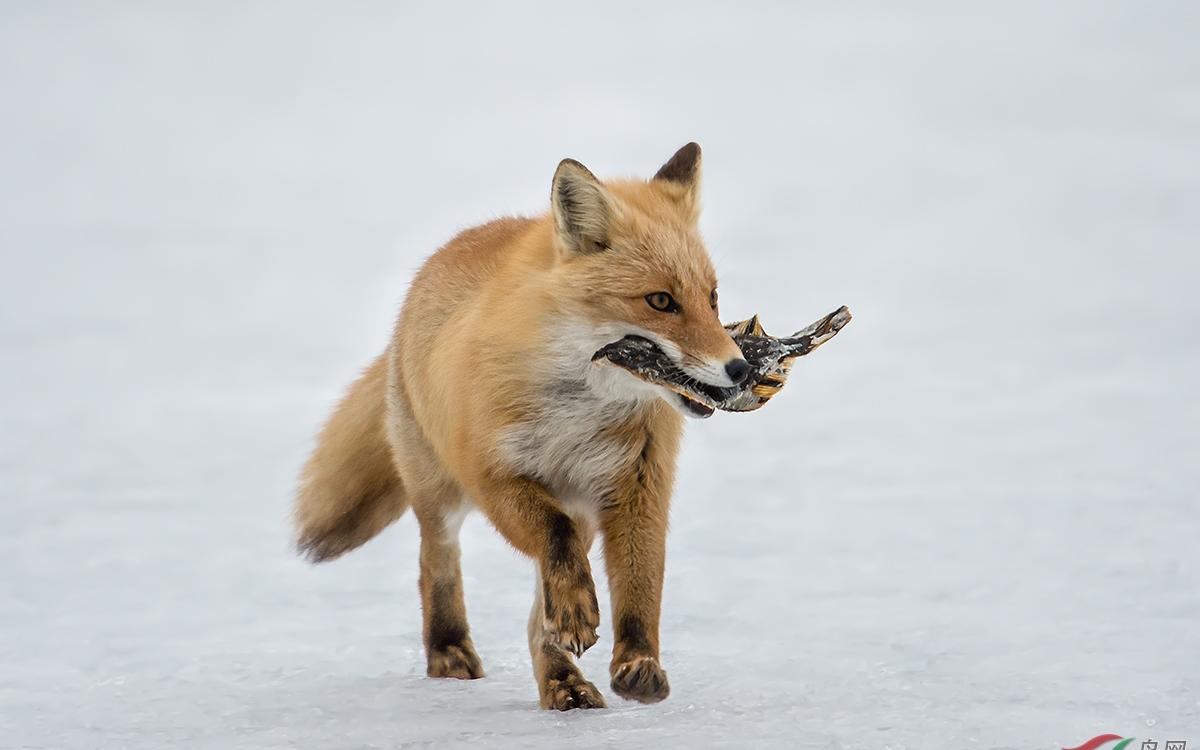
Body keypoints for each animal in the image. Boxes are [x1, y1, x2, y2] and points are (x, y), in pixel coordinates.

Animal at [295, 144, 748, 705]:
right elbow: (552, 536)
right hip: (440, 491)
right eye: (660, 301)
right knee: (435, 562)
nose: (741, 369)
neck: (578, 413)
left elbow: (641, 582)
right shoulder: (494, 476)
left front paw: (637, 661)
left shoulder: (637, 485)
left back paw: (563, 682)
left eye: (712, 298)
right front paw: (579, 619)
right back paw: (448, 648)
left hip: (578, 511)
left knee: (539, 619)